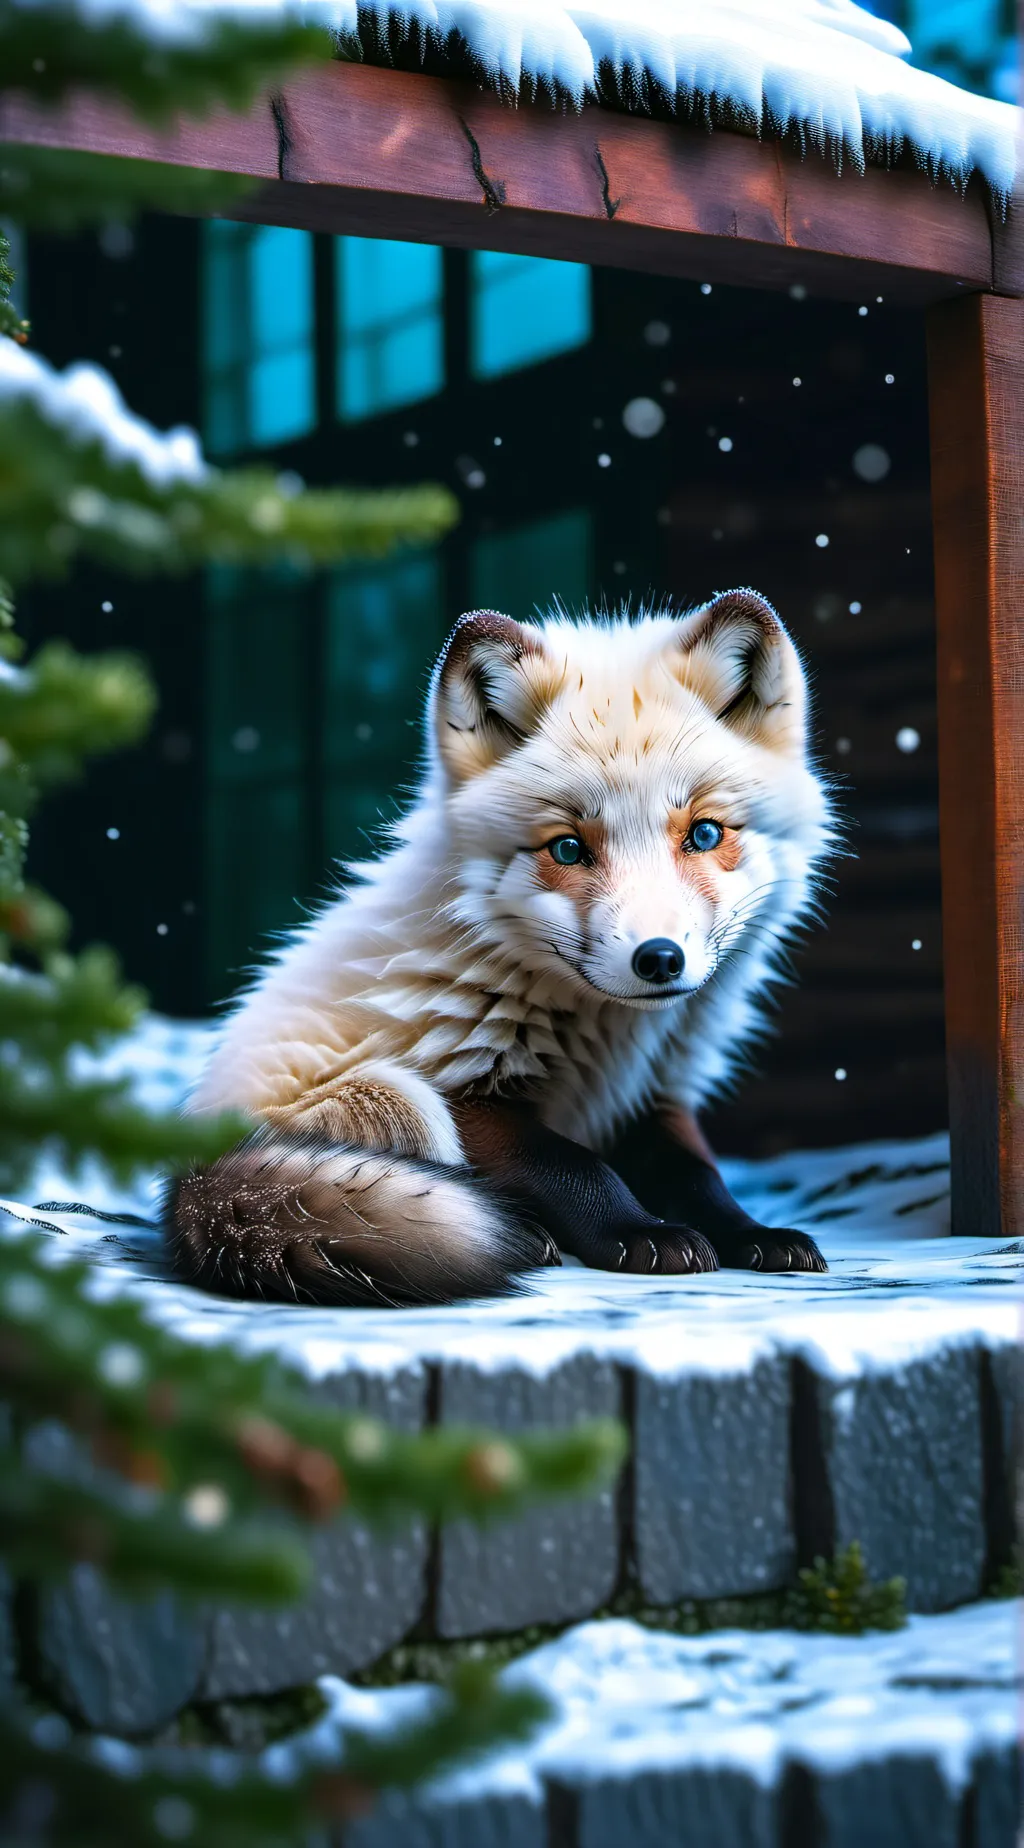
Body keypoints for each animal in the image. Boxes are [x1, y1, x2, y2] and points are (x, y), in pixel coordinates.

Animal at [169, 589, 835, 1306]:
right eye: (567, 848)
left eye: (705, 834)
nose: (659, 959)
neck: (606, 1043)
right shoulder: (456, 1085)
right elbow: (572, 1164)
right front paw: (639, 1232)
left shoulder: (652, 1093)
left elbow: (700, 1177)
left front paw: (751, 1234)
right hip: (396, 1099)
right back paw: (529, 1239)